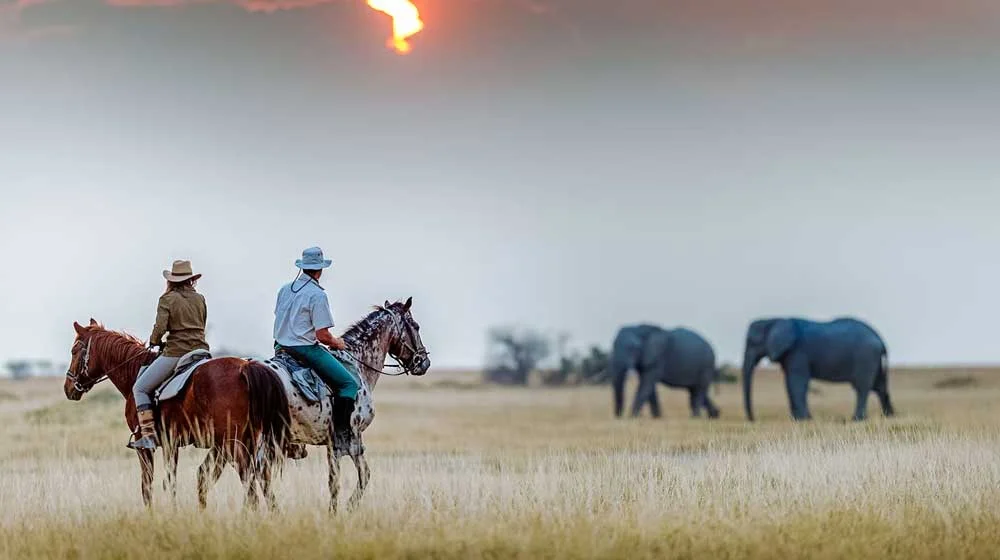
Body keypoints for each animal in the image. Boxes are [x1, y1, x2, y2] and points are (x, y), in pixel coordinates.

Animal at [62, 320, 292, 508]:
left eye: (74, 351)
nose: (68, 388)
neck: (135, 371)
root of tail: (245, 367)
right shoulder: (171, 444)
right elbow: (170, 481)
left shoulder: (144, 445)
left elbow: (148, 485)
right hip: (248, 441)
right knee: (262, 479)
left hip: (234, 444)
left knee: (250, 481)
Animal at [270, 298, 430, 512]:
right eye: (416, 326)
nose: (424, 362)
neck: (358, 364)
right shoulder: (352, 437)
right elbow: (362, 476)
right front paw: (347, 508)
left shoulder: (332, 443)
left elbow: (334, 481)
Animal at [740, 318, 896, 422]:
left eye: (752, 342)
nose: (753, 420)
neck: (775, 319)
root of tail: (880, 340)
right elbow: (789, 384)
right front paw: (796, 419)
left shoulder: (798, 352)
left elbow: (797, 383)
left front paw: (804, 420)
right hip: (875, 361)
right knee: (880, 387)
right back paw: (889, 416)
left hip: (866, 357)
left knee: (862, 388)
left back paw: (857, 419)